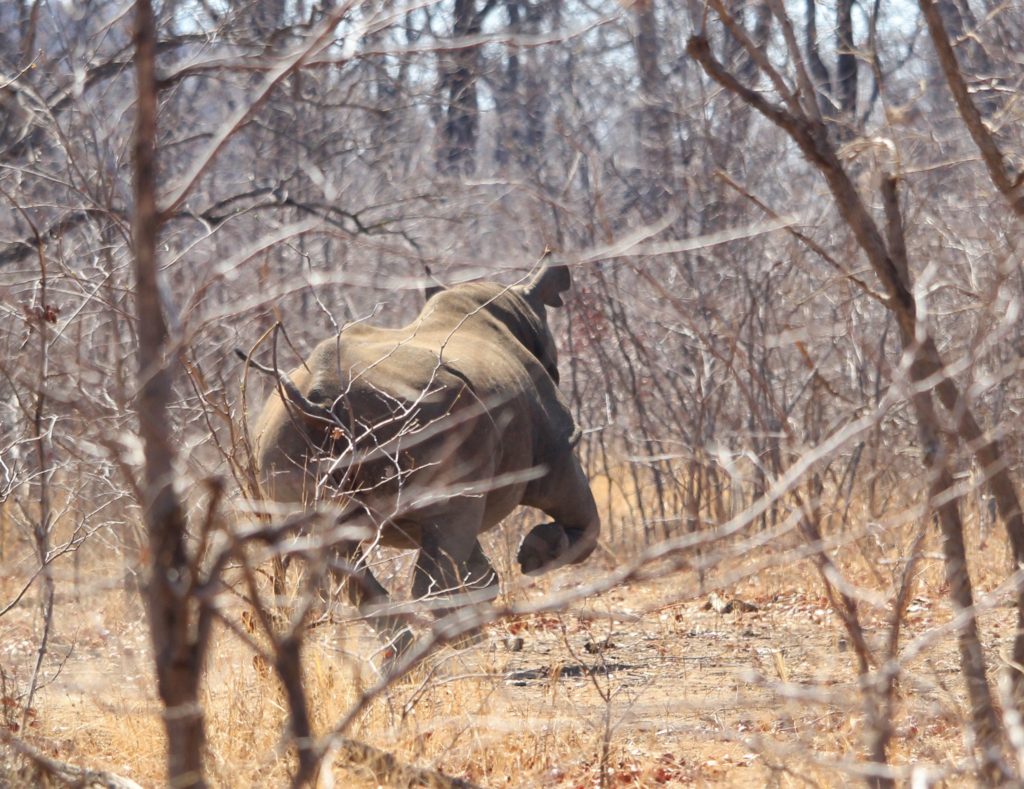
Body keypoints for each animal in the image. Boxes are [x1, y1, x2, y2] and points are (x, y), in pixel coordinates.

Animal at [246, 262, 600, 652]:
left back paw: (412, 651)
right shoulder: (559, 446)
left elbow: (471, 562)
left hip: (282, 441)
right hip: (424, 419)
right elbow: (585, 518)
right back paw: (456, 647)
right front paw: (536, 556)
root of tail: (317, 401)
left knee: (335, 552)